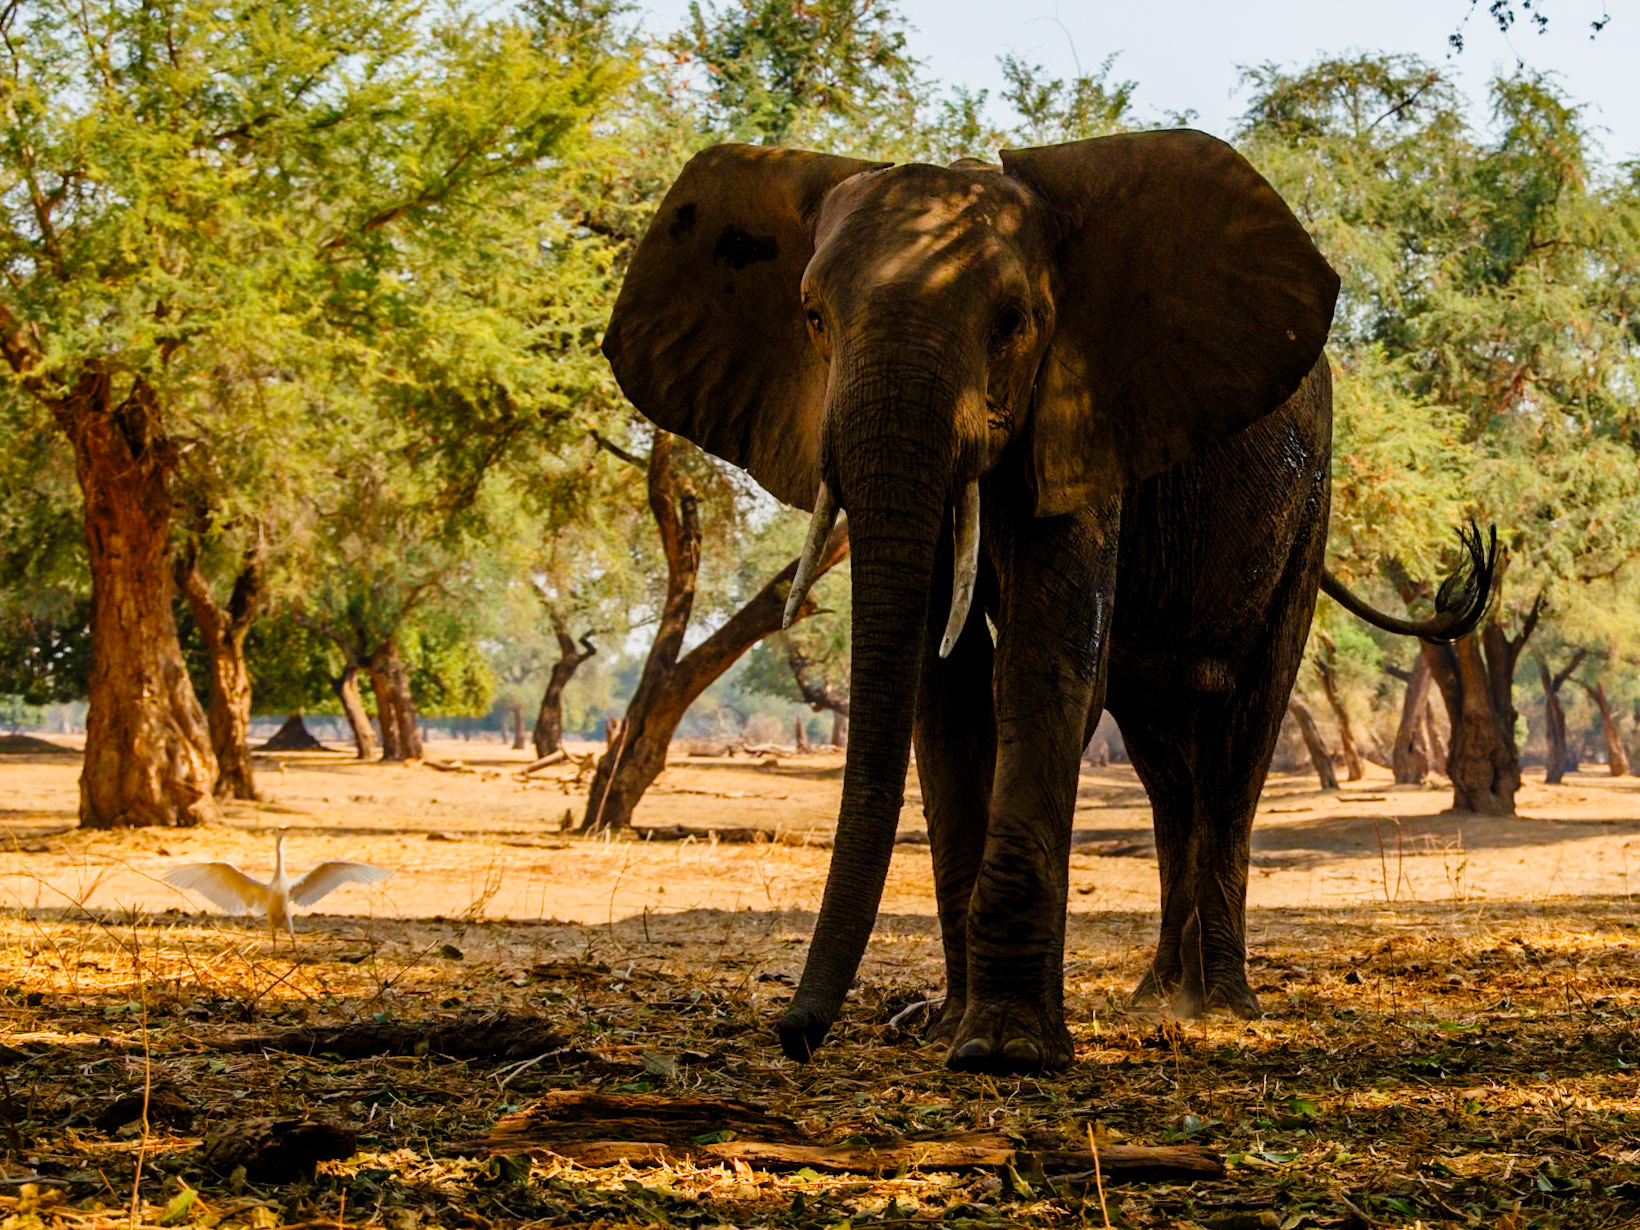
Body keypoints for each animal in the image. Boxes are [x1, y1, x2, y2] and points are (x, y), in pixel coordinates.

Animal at [601, 130, 1491, 1075]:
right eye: (811, 317)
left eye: (1014, 322)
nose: (795, 1032)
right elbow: (944, 694)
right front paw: (950, 1028)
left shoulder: (1082, 418)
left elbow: (1043, 665)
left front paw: (1004, 1051)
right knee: (1163, 764)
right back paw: (1158, 999)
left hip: (1308, 511)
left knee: (1240, 735)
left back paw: (1222, 1007)